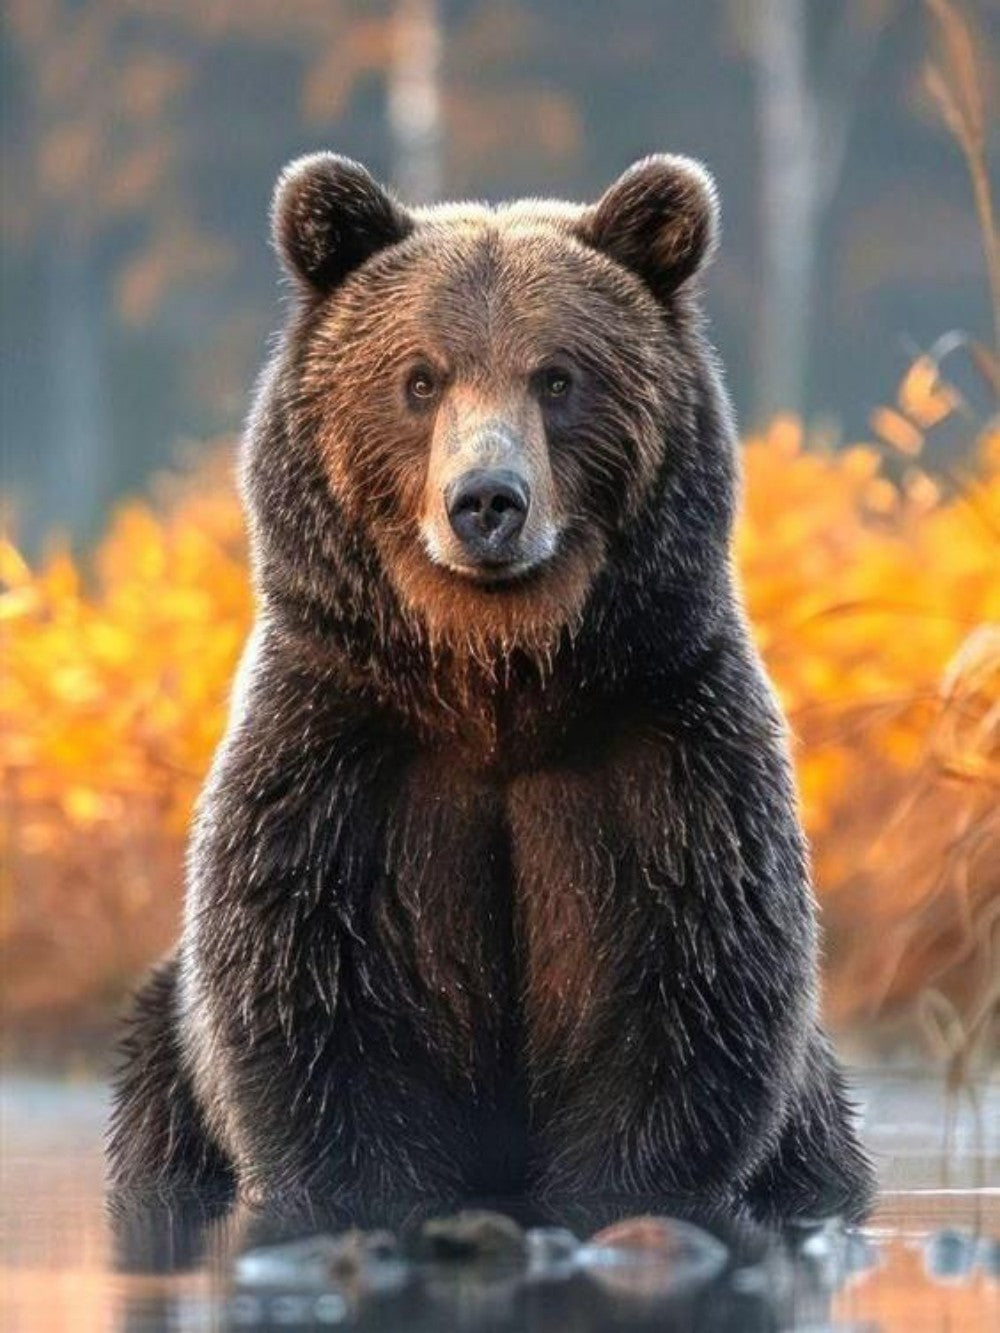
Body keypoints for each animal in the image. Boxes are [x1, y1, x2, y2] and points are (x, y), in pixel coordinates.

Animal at [107, 151, 874, 1224]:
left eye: (557, 376)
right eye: (420, 377)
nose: (485, 502)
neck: (494, 681)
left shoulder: (667, 755)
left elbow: (687, 1002)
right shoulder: (338, 759)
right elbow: (313, 1015)